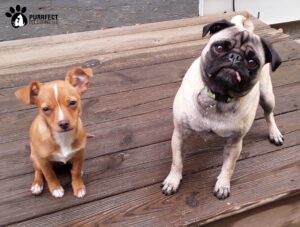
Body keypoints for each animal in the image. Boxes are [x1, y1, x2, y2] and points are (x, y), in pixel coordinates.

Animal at [14, 66, 92, 198]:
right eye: (45, 109)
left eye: (72, 103)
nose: (63, 123)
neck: (63, 138)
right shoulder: (43, 161)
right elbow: (49, 175)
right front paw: (55, 188)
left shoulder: (80, 153)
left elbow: (75, 171)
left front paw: (78, 187)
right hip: (34, 158)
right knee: (38, 171)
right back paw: (37, 185)